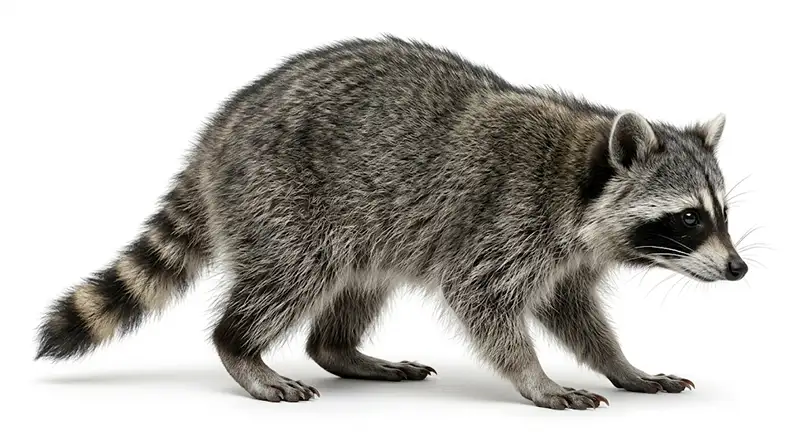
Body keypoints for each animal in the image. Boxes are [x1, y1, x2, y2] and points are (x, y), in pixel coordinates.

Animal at [35, 36, 748, 409]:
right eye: (689, 218)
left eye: (723, 214)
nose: (739, 268)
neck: (581, 171)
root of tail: (218, 132)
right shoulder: (510, 216)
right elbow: (483, 298)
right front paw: (535, 376)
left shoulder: (566, 253)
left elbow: (574, 313)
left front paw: (619, 363)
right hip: (283, 197)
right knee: (289, 276)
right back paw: (241, 348)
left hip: (370, 227)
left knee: (356, 284)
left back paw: (339, 349)